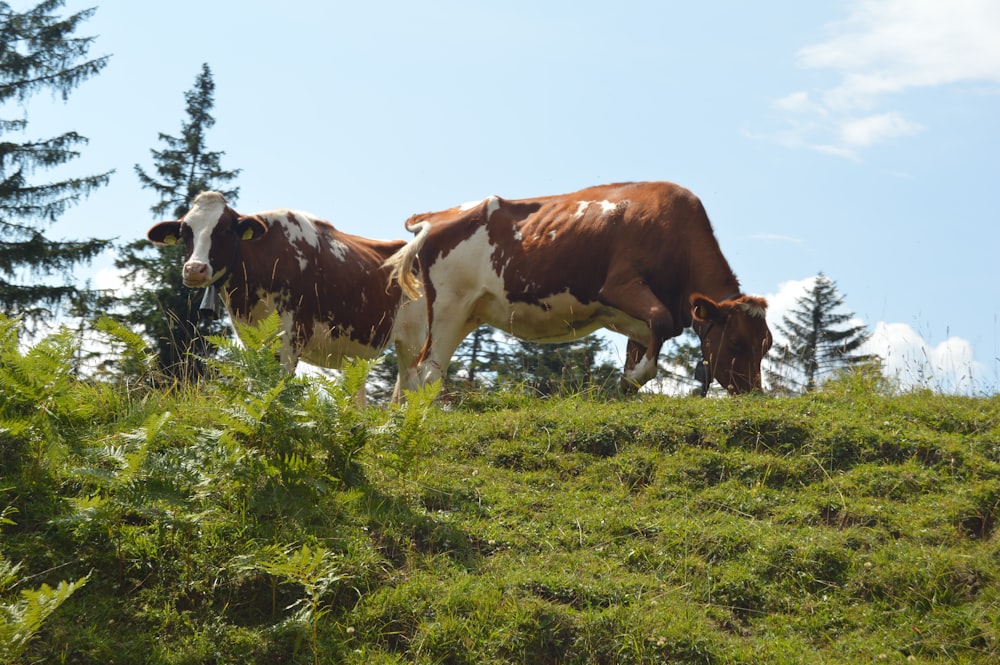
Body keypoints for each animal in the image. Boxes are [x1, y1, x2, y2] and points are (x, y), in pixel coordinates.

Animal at [148, 189, 426, 402]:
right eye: (185, 232)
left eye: (225, 230)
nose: (194, 269)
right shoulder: (250, 338)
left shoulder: (292, 337)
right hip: (358, 354)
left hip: (412, 341)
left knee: (413, 390)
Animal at [384, 180, 772, 394]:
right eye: (736, 343)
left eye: (765, 345)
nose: (753, 393)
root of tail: (434, 217)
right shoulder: (620, 286)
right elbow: (659, 328)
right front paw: (629, 380)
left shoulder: (640, 320)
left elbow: (646, 343)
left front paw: (626, 384)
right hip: (450, 306)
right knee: (427, 371)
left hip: (467, 313)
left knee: (417, 372)